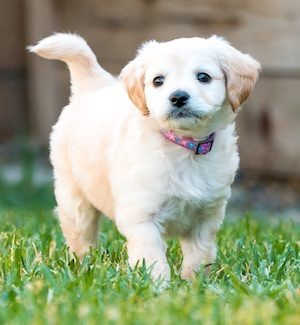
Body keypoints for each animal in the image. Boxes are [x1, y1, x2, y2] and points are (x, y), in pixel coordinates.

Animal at [30, 32, 260, 280]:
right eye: (158, 81)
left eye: (203, 77)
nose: (178, 97)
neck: (183, 146)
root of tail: (93, 85)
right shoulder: (141, 216)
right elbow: (151, 257)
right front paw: (158, 285)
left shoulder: (207, 216)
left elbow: (200, 255)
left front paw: (194, 282)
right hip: (74, 198)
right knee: (81, 236)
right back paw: (84, 266)